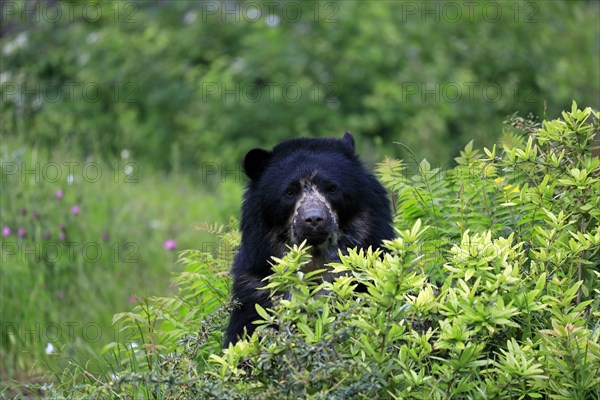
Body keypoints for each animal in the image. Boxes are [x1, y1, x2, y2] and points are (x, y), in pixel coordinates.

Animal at [225, 133, 394, 346]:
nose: (314, 219)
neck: (316, 256)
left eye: (332, 188)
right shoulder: (255, 290)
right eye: (289, 192)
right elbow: (245, 331)